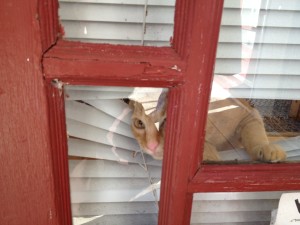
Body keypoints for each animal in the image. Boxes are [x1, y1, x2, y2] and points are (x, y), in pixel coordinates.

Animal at [128, 92, 286, 163]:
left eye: (168, 120)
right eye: (139, 123)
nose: (151, 145)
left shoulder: (249, 114)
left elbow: (255, 135)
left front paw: (267, 149)